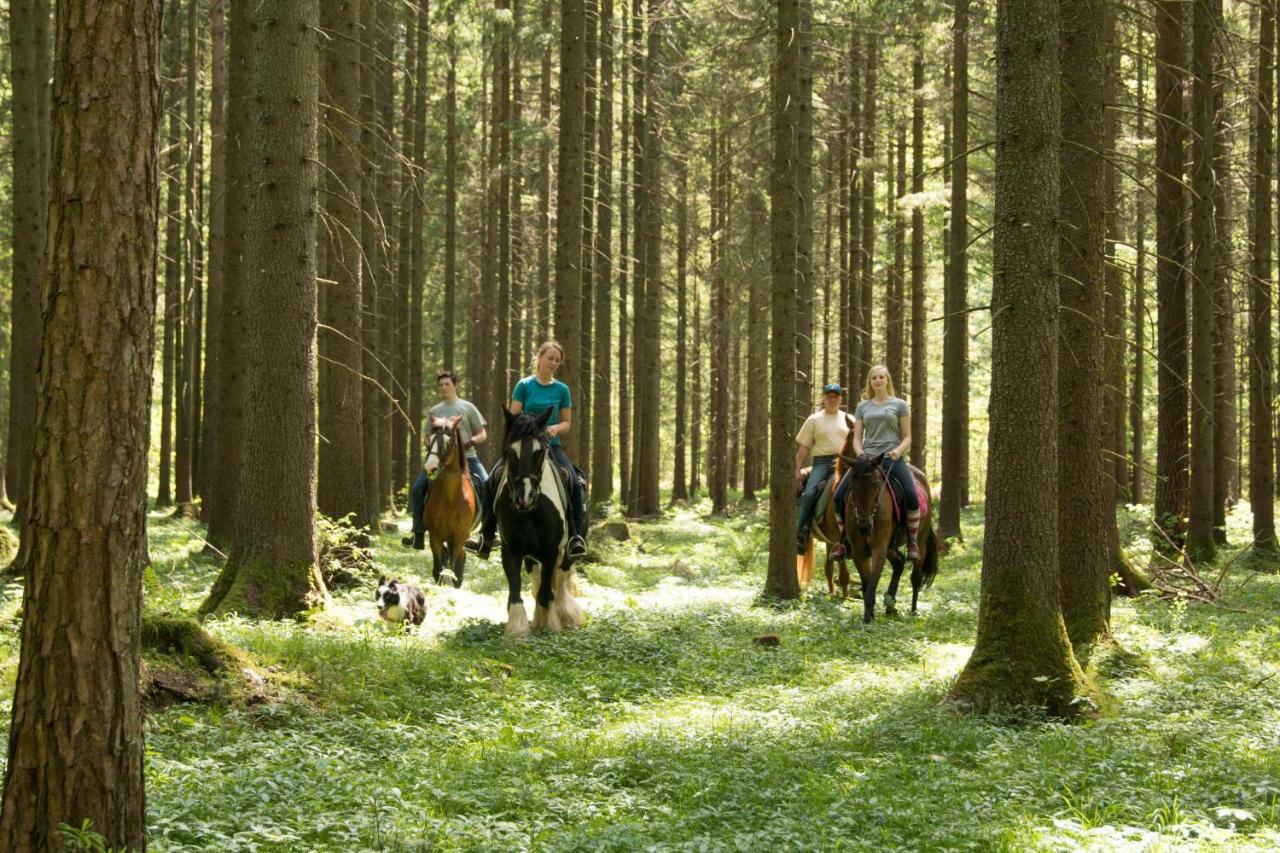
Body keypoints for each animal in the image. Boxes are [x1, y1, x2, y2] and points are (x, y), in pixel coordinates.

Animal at [424, 414, 481, 589]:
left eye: (448, 443)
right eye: (429, 440)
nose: (430, 468)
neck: (451, 497)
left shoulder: (459, 536)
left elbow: (457, 569)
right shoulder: (435, 535)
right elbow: (438, 569)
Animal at [494, 404, 586, 630]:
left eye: (540, 451)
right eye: (510, 451)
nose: (524, 496)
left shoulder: (551, 550)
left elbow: (547, 591)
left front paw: (548, 625)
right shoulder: (511, 549)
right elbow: (516, 592)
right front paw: (518, 629)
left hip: (568, 550)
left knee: (560, 580)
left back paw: (566, 615)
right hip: (531, 555)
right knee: (537, 579)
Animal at [839, 448, 942, 622]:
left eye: (876, 485)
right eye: (853, 486)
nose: (864, 526)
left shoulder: (879, 549)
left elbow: (871, 585)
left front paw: (867, 620)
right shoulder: (859, 552)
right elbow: (866, 584)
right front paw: (871, 616)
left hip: (920, 540)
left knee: (915, 576)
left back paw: (913, 610)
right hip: (891, 547)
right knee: (899, 563)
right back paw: (890, 605)